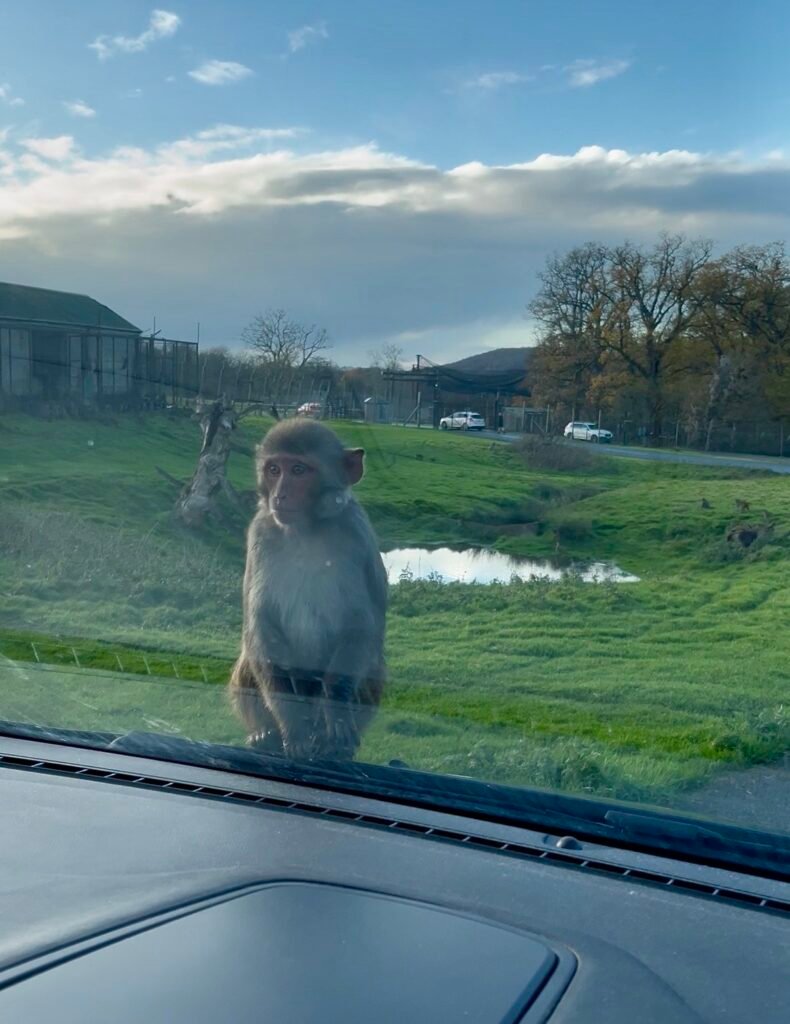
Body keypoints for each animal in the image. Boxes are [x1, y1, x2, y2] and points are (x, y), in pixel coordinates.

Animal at [229, 419, 388, 761]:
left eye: (299, 470)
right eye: (274, 469)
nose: (280, 495)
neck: (305, 530)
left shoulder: (353, 533)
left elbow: (358, 624)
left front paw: (337, 718)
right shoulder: (260, 533)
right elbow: (261, 624)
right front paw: (292, 725)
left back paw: (330, 742)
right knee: (252, 654)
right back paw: (265, 733)